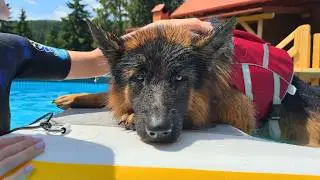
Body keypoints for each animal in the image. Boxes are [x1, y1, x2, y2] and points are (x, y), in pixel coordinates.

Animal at [53, 17, 318, 146]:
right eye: (138, 77)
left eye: (180, 78)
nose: (159, 131)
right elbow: (109, 96)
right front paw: (78, 97)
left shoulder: (237, 113)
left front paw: (128, 116)